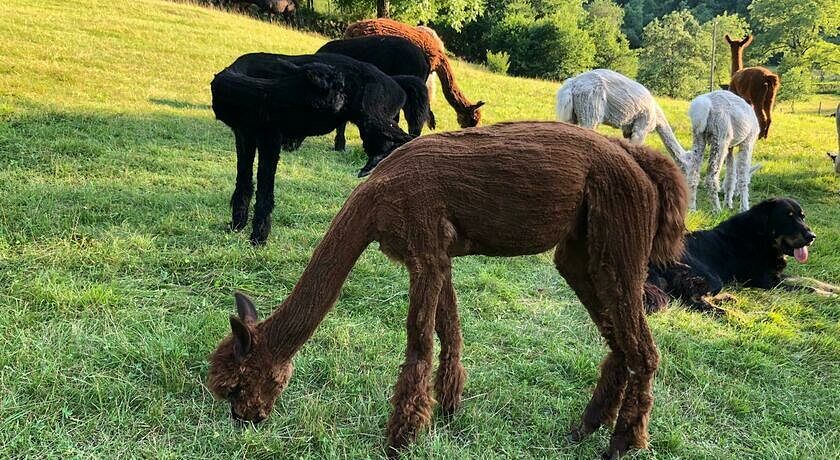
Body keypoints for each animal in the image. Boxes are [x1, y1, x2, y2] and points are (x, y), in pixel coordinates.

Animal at [648, 196, 836, 314]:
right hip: (709, 276)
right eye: (787, 218)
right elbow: (807, 287)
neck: (761, 237)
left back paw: (728, 298)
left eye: (802, 217)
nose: (812, 236)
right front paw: (829, 295)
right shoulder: (767, 282)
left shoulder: (776, 274)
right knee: (693, 300)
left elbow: (810, 280)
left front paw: (834, 288)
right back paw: (730, 314)